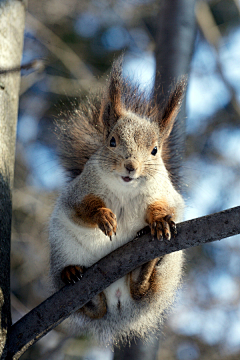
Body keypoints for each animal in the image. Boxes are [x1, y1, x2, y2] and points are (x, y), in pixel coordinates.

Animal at [48, 59, 187, 346]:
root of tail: (118, 302)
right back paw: (74, 278)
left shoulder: (167, 194)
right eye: (111, 141)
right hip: (62, 246)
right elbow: (80, 209)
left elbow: (168, 208)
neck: (125, 190)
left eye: (155, 150)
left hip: (169, 266)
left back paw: (144, 270)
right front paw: (103, 216)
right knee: (93, 309)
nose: (131, 166)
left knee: (142, 290)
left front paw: (159, 221)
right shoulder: (78, 192)